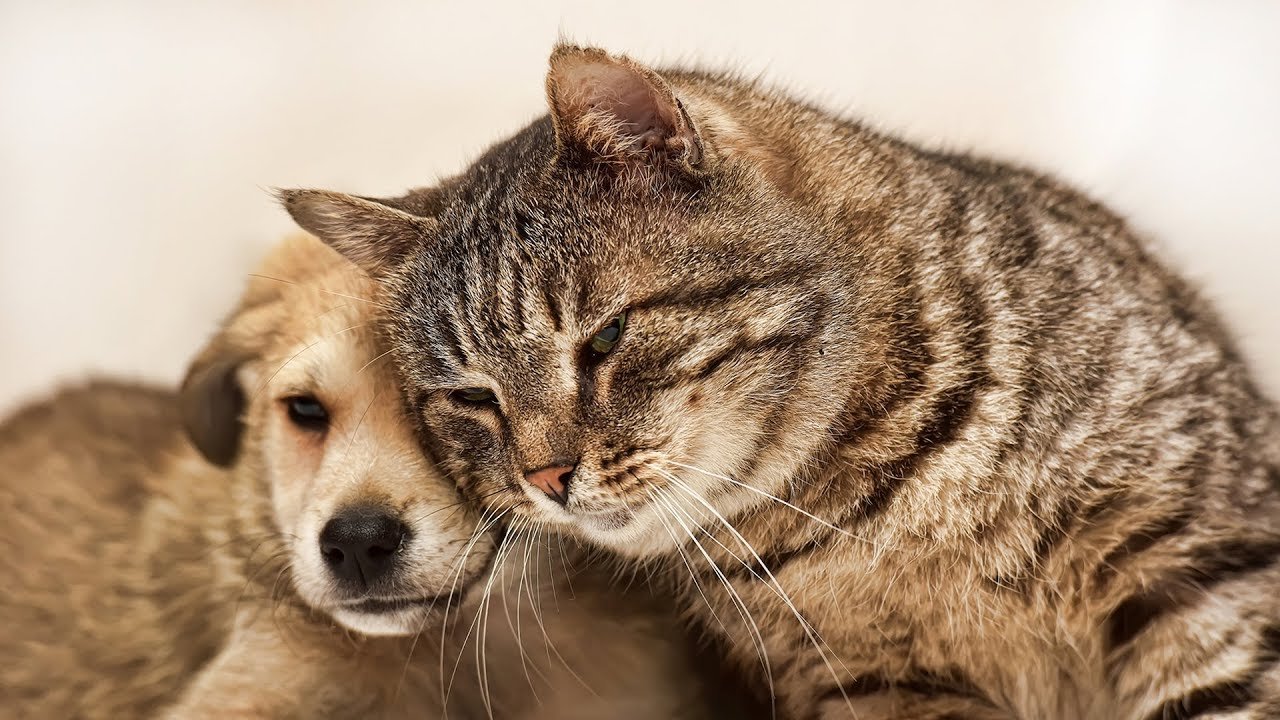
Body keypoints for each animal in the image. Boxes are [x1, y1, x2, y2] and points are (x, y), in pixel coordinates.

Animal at [282, 46, 1280, 717]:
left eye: (605, 339)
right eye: (469, 397)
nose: (545, 479)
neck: (877, 510)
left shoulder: (1199, 570)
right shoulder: (876, 683)